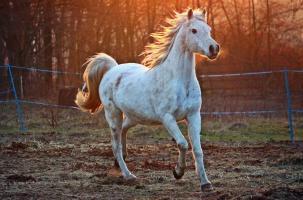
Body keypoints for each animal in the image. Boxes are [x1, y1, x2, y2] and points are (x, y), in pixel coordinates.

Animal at [75, 8, 220, 191]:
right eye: (193, 30)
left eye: (209, 30)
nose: (214, 48)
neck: (180, 81)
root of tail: (112, 70)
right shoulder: (167, 118)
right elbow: (182, 143)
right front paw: (178, 172)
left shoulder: (194, 116)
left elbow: (198, 150)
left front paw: (206, 184)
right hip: (113, 114)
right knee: (115, 144)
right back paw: (128, 175)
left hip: (134, 117)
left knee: (123, 132)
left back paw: (119, 163)